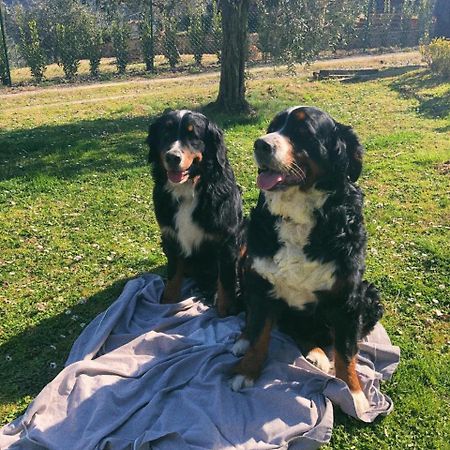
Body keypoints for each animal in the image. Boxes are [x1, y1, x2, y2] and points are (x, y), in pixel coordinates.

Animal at [148, 110, 244, 316]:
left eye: (193, 136)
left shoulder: (227, 240)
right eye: (165, 132)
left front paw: (225, 311)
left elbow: (226, 281)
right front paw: (166, 304)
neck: (189, 190)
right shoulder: (170, 236)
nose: (172, 157)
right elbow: (173, 275)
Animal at [232, 105, 384, 418]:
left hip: (369, 295)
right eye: (273, 127)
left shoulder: (347, 298)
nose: (260, 144)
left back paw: (316, 353)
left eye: (303, 131)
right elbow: (259, 333)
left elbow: (346, 351)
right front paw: (247, 369)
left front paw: (353, 393)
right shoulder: (262, 284)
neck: (297, 216)